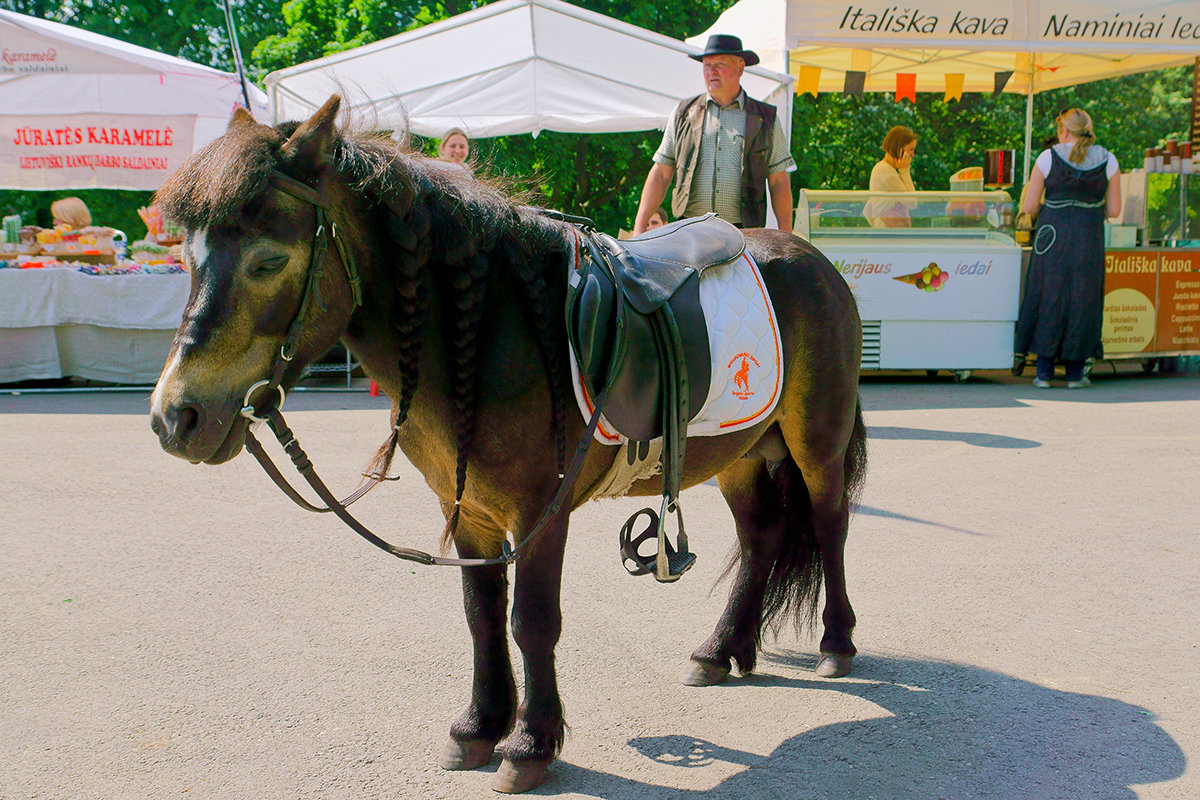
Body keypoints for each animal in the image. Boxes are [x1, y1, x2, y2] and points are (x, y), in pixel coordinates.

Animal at [147, 100, 864, 796]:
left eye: (269, 260)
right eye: (187, 258)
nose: (176, 417)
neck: (491, 330)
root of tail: (812, 260)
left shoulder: (540, 511)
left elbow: (532, 620)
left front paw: (530, 744)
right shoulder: (467, 508)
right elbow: (481, 612)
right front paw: (479, 726)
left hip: (816, 445)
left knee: (829, 525)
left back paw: (836, 642)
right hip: (740, 455)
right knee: (761, 539)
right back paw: (721, 650)